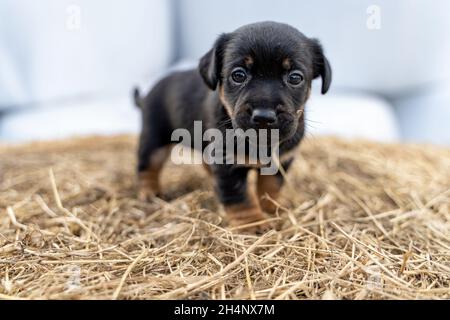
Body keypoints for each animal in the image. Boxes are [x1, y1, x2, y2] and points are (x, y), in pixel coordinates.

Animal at [133, 21, 330, 232]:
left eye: (295, 77)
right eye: (238, 75)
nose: (264, 116)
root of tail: (146, 95)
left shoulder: (280, 162)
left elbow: (270, 187)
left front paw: (271, 208)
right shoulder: (227, 166)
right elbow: (240, 197)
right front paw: (252, 223)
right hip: (154, 140)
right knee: (147, 166)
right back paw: (149, 193)